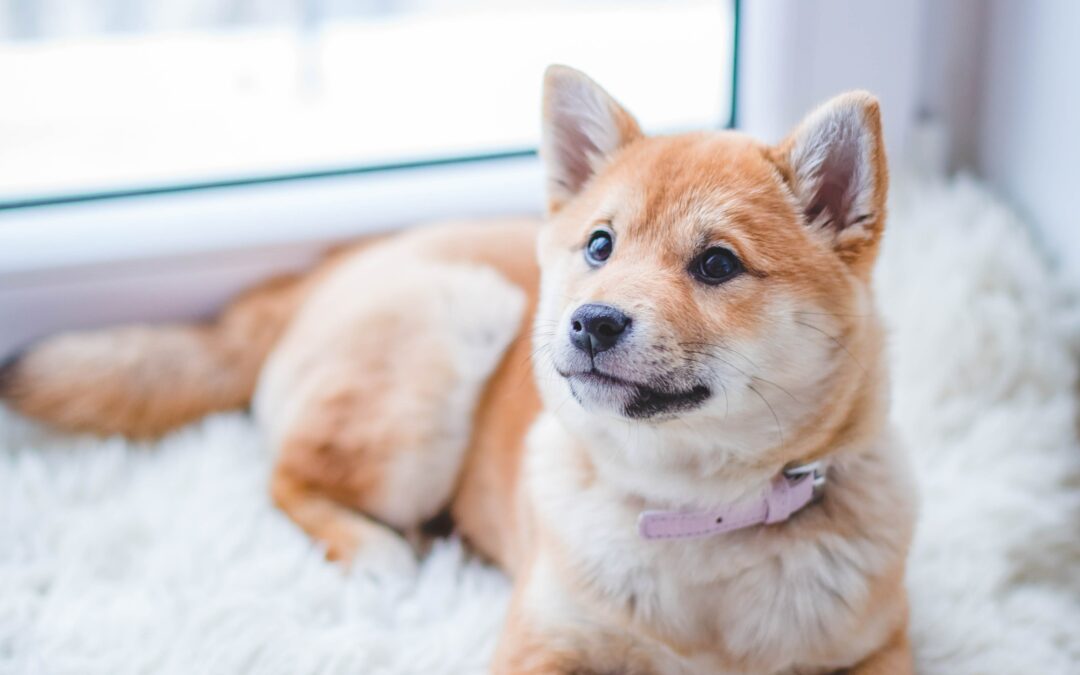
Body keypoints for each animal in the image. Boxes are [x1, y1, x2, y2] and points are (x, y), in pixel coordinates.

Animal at [0, 65, 915, 669]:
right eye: (600, 245)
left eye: (718, 264)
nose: (591, 322)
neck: (697, 516)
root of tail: (322, 270)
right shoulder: (544, 641)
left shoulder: (881, 648)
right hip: (443, 349)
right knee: (288, 476)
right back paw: (378, 547)